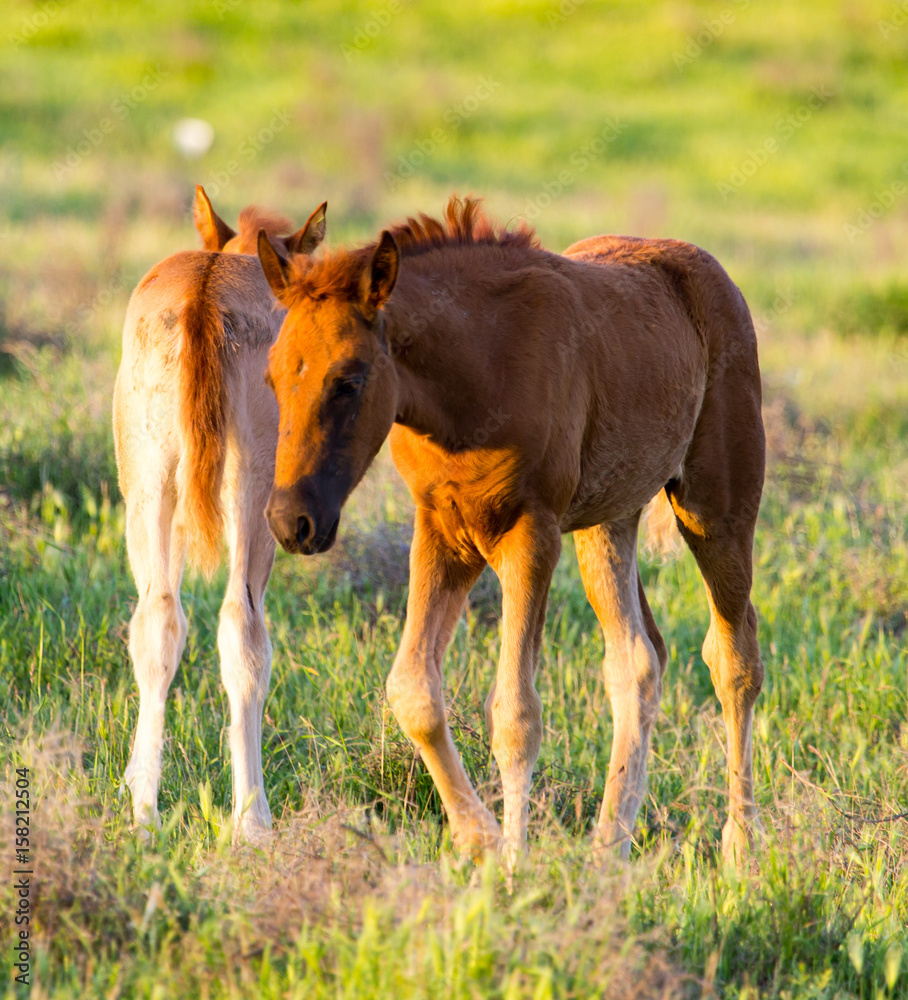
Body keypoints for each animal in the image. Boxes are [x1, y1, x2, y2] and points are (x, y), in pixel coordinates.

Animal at [113, 187, 326, 842]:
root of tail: (203, 300)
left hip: (151, 485)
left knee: (157, 618)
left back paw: (145, 813)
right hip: (254, 497)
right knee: (242, 627)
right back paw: (252, 819)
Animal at [256, 197, 765, 868]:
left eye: (350, 379)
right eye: (270, 378)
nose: (291, 521)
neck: (476, 371)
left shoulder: (531, 534)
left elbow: (516, 715)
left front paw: (514, 863)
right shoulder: (443, 533)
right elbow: (413, 691)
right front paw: (480, 841)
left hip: (715, 509)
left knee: (734, 658)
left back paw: (741, 847)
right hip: (607, 523)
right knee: (638, 660)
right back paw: (608, 848)